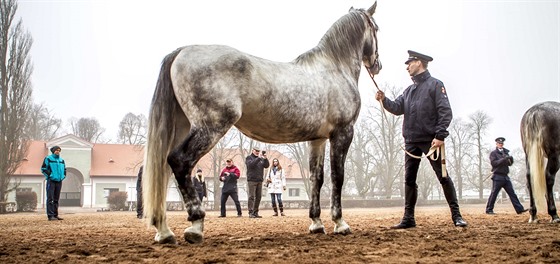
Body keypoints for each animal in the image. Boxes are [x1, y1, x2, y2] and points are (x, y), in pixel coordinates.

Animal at [142, 2, 382, 244]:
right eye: (377, 29)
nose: (377, 65)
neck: (334, 68)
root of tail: (182, 51)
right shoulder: (343, 133)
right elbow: (337, 177)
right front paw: (340, 223)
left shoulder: (318, 139)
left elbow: (317, 178)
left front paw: (316, 223)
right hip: (210, 127)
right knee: (180, 161)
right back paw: (195, 225)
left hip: (180, 128)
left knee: (163, 168)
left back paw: (164, 232)